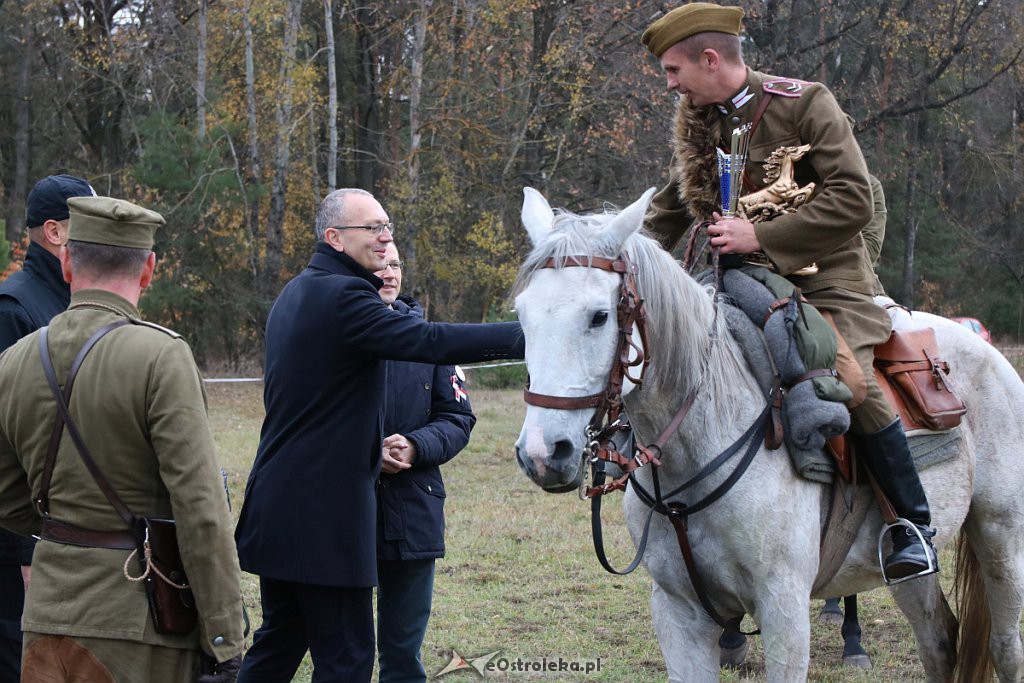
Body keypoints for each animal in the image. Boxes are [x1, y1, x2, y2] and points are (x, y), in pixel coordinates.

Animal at [516, 184, 1024, 679]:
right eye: (521, 315)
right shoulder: (678, 613)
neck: (699, 447)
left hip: (1001, 536)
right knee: (939, 642)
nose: (543, 453)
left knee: (1004, 647)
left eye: (599, 315)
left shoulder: (784, 610)